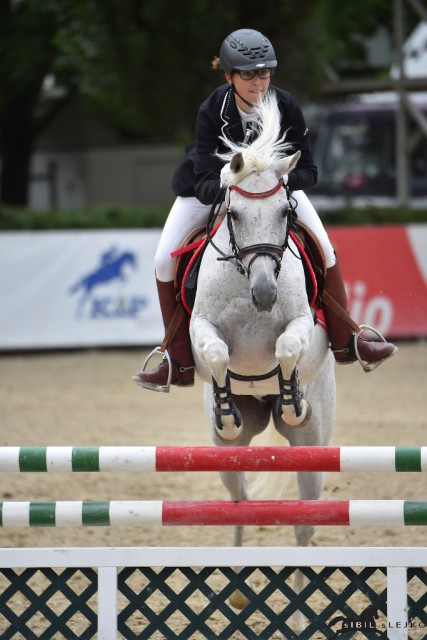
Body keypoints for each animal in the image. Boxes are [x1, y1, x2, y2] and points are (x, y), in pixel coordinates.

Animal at [191, 92, 338, 608]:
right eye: (233, 215)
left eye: (284, 214)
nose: (264, 295)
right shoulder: (201, 327)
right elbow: (217, 355)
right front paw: (224, 408)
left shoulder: (300, 324)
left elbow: (288, 346)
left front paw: (292, 398)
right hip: (226, 454)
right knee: (238, 503)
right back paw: (237, 593)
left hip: (313, 450)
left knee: (303, 525)